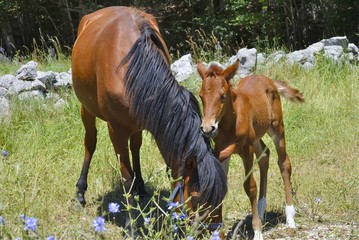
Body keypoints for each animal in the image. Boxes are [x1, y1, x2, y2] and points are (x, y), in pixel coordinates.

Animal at [198, 59, 306, 239]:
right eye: (201, 96)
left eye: (223, 96)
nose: (207, 128)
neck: (230, 123)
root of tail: (268, 79)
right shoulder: (221, 151)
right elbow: (221, 184)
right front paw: (218, 231)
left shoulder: (246, 150)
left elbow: (250, 187)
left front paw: (257, 231)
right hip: (256, 137)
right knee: (265, 155)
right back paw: (261, 210)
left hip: (277, 128)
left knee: (284, 163)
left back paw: (290, 217)